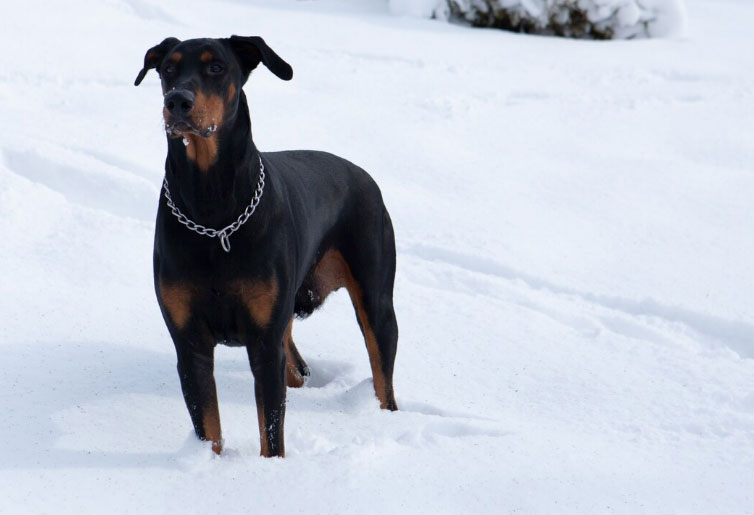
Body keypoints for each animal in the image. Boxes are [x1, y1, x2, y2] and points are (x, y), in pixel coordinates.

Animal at [134, 36, 400, 458]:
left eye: (216, 67)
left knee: (382, 376)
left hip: (375, 298)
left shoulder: (262, 343)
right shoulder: (190, 342)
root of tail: (365, 176)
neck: (213, 209)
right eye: (168, 69)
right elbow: (208, 427)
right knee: (297, 366)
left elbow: (271, 430)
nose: (177, 101)